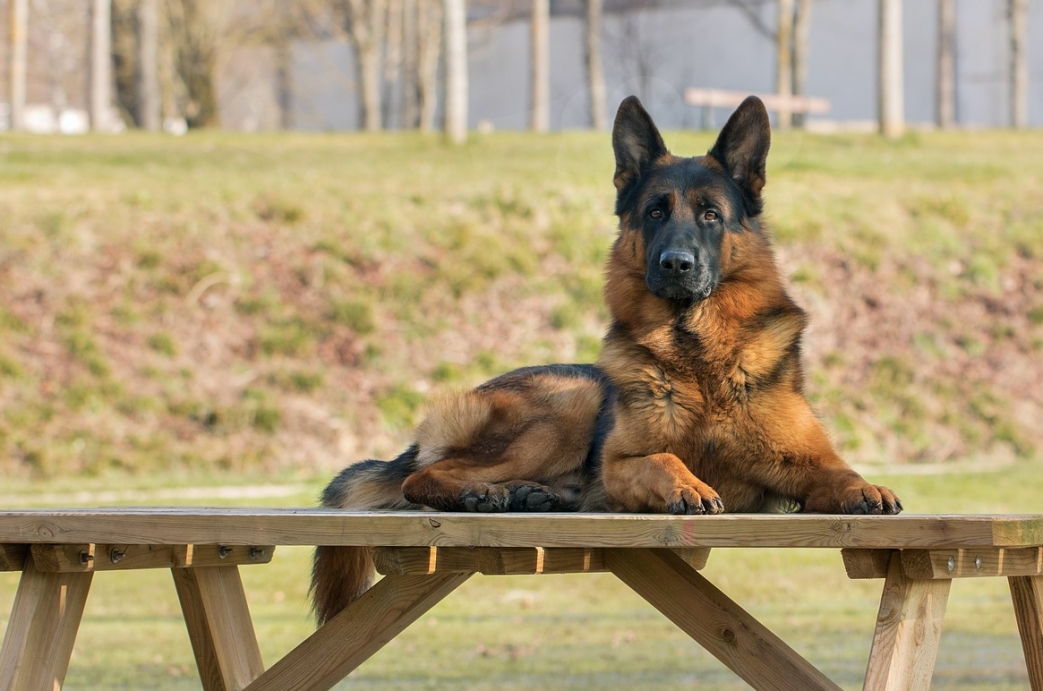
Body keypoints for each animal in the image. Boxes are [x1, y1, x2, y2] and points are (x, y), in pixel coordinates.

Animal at [310, 94, 905, 625]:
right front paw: (688, 484)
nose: (675, 264)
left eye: (711, 215)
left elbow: (840, 470)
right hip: (569, 404)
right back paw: (482, 493)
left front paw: (866, 488)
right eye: (655, 212)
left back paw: (533, 496)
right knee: (422, 476)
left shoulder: (805, 462)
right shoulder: (621, 465)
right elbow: (663, 459)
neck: (698, 357)